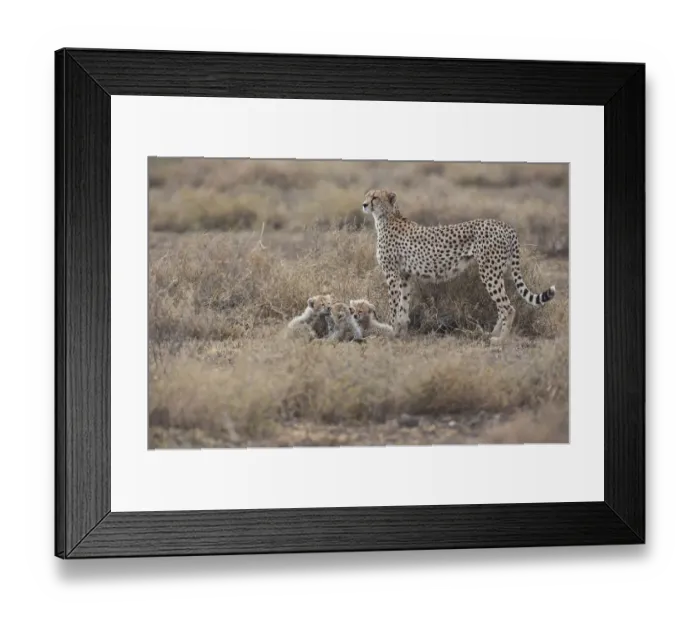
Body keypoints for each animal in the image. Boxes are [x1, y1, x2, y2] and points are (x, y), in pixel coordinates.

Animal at [362, 189, 556, 345]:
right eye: (367, 195)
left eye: (375, 197)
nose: (364, 204)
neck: (387, 218)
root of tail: (504, 225)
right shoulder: (404, 276)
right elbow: (403, 305)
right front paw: (400, 332)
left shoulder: (392, 274)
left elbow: (394, 305)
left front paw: (390, 331)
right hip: (495, 272)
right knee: (502, 307)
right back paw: (490, 334)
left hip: (489, 272)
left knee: (508, 307)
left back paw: (500, 339)